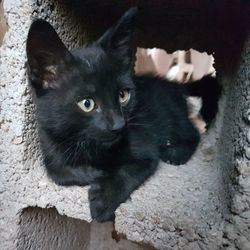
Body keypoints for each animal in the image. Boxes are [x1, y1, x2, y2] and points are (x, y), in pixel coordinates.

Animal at [25, 6, 221, 222]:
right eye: (87, 103)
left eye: (123, 95)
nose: (118, 125)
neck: (91, 147)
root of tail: (174, 85)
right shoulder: (50, 141)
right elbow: (57, 171)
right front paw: (94, 173)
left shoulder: (145, 149)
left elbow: (127, 171)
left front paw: (103, 198)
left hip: (172, 116)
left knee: (192, 132)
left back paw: (176, 152)